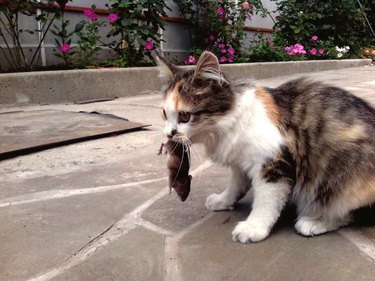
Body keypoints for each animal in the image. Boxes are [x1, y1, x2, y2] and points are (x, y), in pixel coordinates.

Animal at [156, 50, 375, 243]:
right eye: (165, 114)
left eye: (185, 116)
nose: (169, 134)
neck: (229, 123)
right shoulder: (240, 164)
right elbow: (235, 186)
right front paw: (223, 201)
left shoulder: (272, 165)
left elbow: (265, 203)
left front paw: (254, 227)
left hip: (345, 179)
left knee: (347, 213)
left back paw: (314, 222)